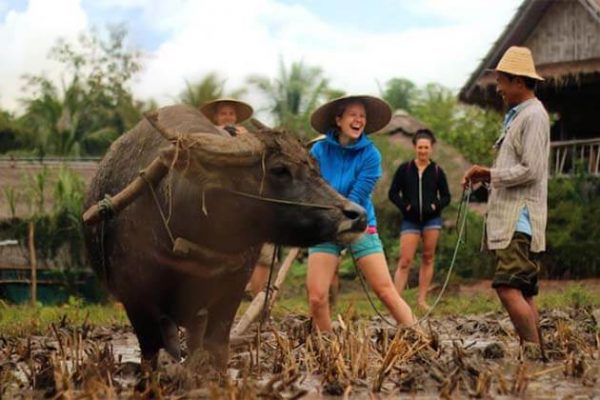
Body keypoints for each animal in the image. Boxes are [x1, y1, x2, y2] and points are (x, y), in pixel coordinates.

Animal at [83, 105, 366, 368]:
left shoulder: (232, 290)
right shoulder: (136, 300)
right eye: (279, 169)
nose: (357, 215)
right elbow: (152, 353)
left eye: (316, 167)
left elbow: (216, 348)